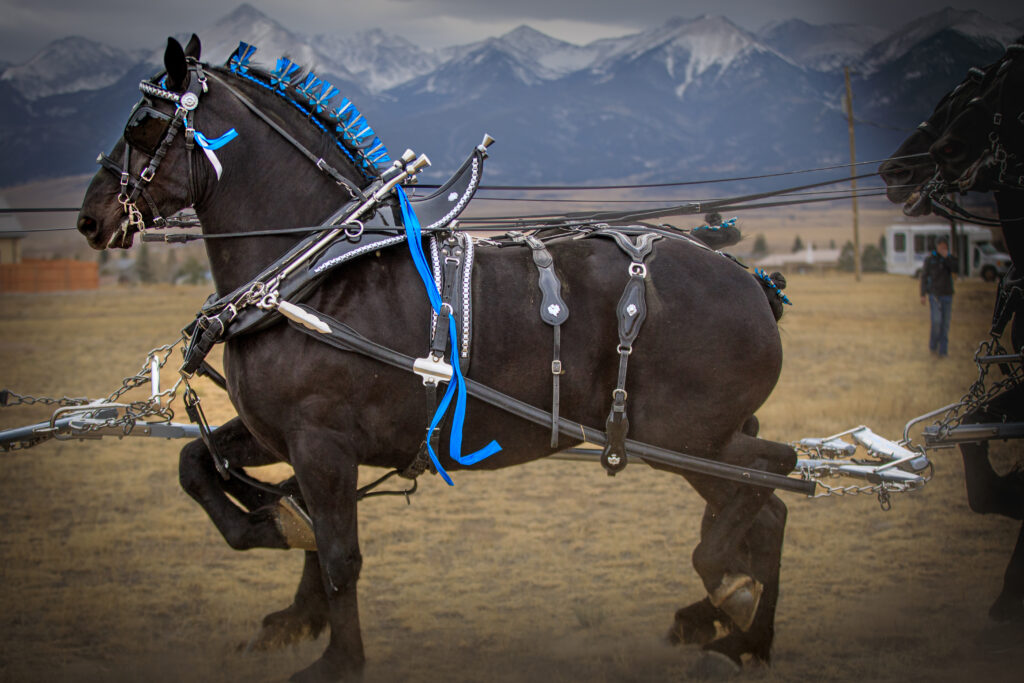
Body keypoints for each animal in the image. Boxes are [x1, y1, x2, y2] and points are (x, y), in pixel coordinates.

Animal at [79, 38, 794, 683]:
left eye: (141, 125)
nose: (90, 218)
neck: (311, 274)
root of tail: (750, 279)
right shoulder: (283, 434)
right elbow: (200, 467)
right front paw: (285, 564)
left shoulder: (320, 440)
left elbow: (340, 555)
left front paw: (339, 659)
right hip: (694, 439)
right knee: (767, 508)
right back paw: (740, 637)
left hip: (682, 437)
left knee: (772, 478)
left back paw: (729, 599)